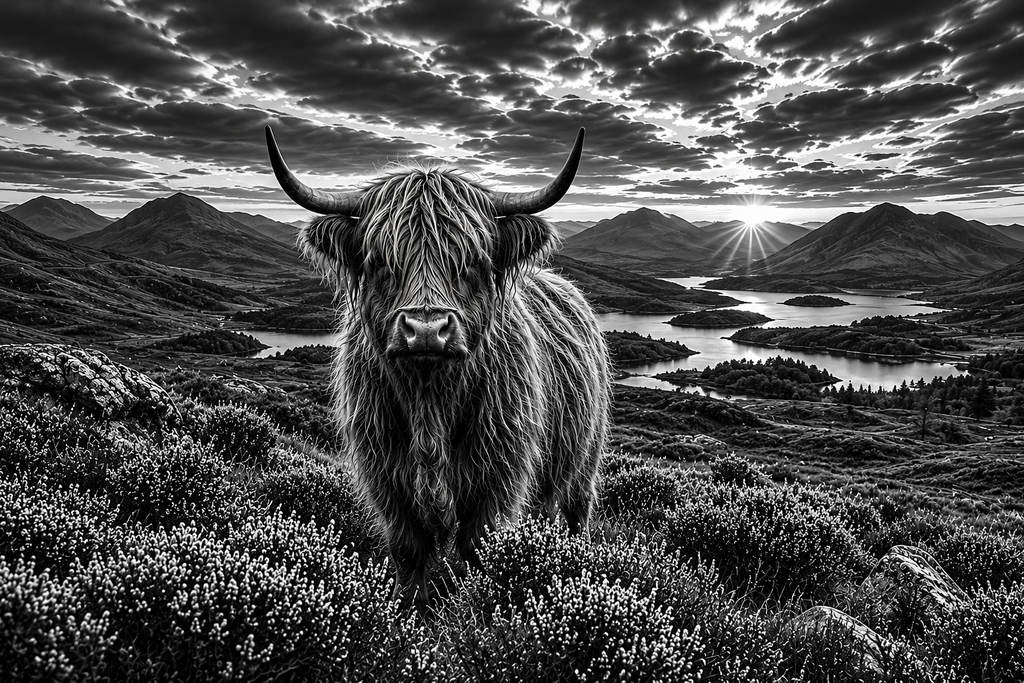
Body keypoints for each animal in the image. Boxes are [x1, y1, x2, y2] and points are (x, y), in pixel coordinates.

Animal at [265, 126, 610, 603]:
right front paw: (410, 608)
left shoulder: (497, 478)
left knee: (577, 508)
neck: (430, 404)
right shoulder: (386, 479)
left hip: (586, 456)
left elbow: (478, 550)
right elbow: (409, 551)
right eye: (379, 261)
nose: (426, 329)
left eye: (473, 261)